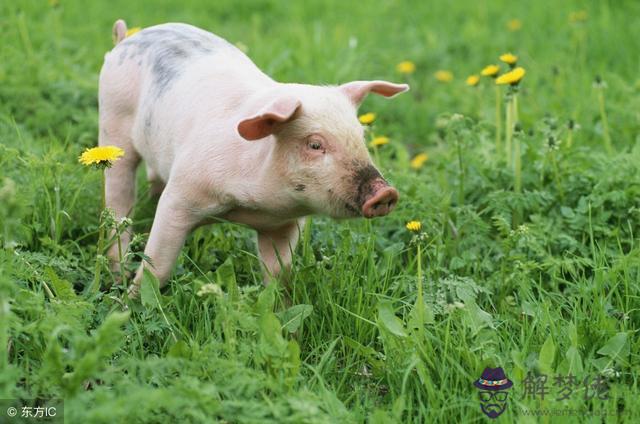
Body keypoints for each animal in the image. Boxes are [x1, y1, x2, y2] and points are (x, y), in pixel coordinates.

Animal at [102, 20, 408, 294]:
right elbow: (158, 267)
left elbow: (279, 274)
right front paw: (131, 303)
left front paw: (281, 310)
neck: (252, 206)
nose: (386, 193)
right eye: (315, 144)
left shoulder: (283, 225)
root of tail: (128, 38)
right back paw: (117, 276)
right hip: (113, 124)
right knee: (119, 203)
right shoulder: (181, 196)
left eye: (360, 136)